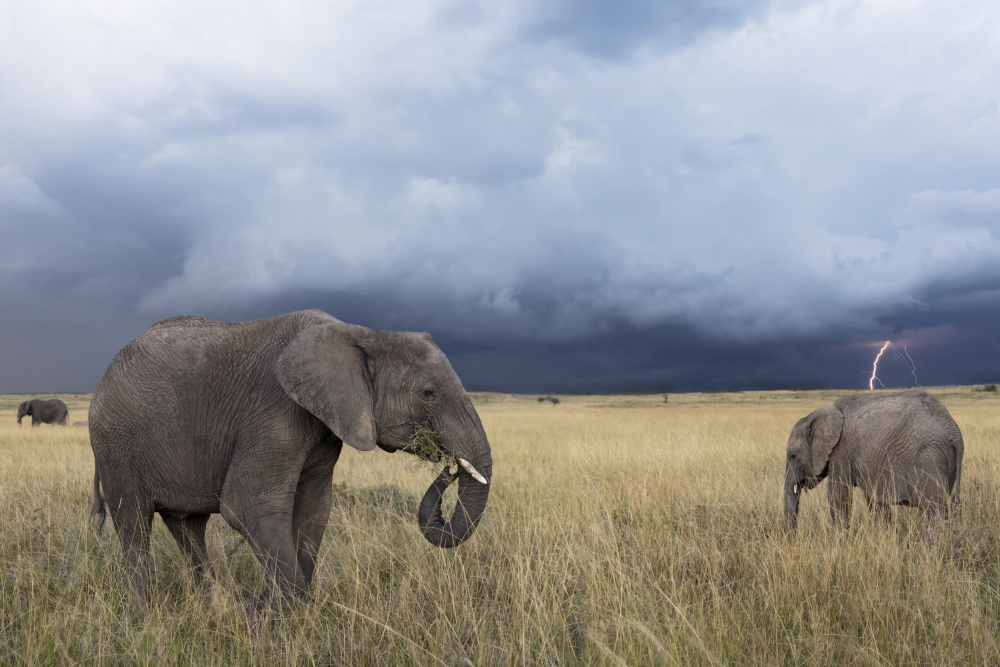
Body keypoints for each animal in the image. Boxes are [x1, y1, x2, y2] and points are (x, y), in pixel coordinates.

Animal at [90, 310, 492, 608]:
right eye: (428, 393)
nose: (449, 468)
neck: (362, 333)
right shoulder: (273, 410)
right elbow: (247, 504)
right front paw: (263, 612)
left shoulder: (325, 425)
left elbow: (314, 509)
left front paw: (271, 607)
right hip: (116, 445)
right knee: (134, 524)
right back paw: (146, 613)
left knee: (188, 529)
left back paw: (212, 606)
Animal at [784, 388, 964, 528]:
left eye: (792, 456)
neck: (814, 416)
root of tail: (954, 432)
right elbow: (876, 502)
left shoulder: (840, 451)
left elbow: (839, 498)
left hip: (929, 457)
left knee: (935, 511)